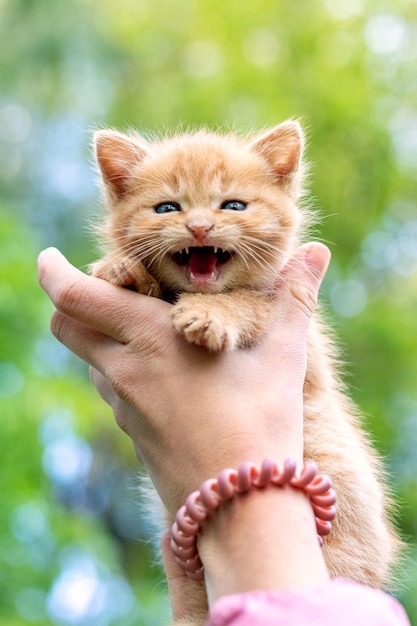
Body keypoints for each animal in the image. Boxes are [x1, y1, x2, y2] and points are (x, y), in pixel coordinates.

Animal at [92, 119, 400, 620]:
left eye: (233, 205)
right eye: (167, 207)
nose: (199, 225)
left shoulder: (302, 343)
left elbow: (247, 301)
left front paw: (209, 316)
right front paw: (122, 270)